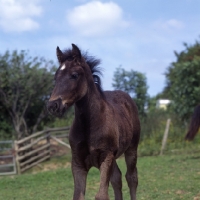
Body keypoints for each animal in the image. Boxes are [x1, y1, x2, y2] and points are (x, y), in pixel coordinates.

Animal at [47, 44, 141, 200]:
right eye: (55, 77)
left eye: (74, 75)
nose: (53, 105)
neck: (89, 125)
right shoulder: (78, 163)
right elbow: (78, 195)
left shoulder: (106, 156)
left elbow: (102, 195)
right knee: (117, 178)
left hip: (132, 148)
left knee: (131, 177)